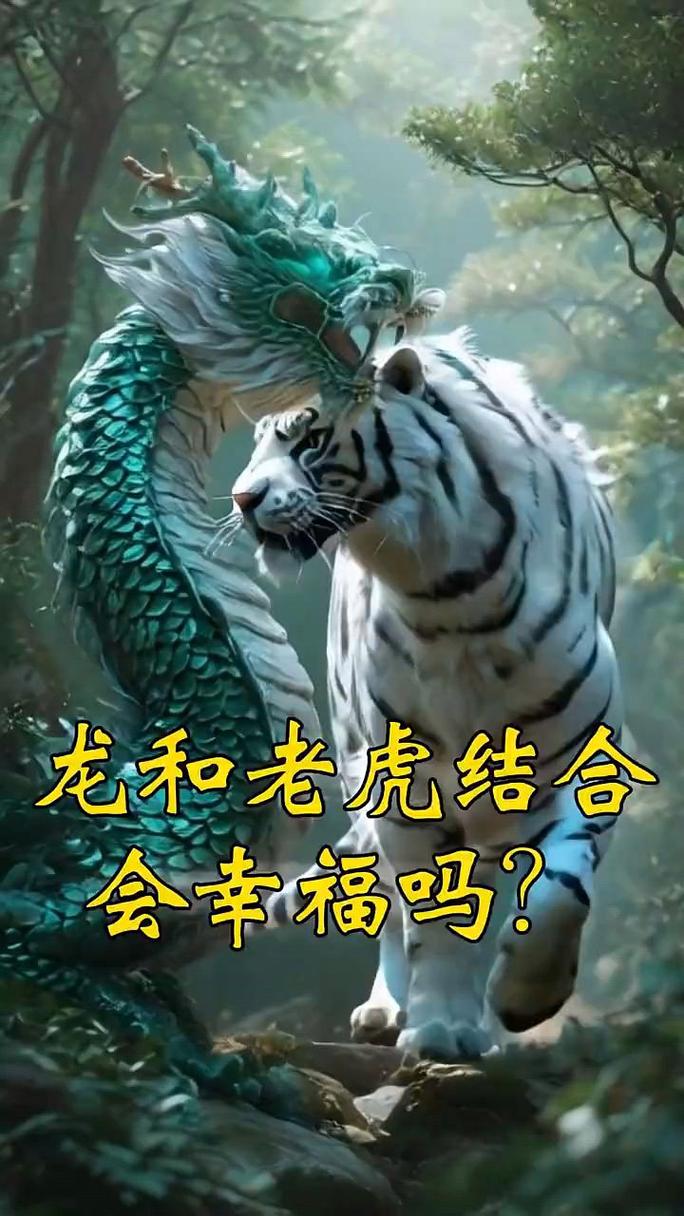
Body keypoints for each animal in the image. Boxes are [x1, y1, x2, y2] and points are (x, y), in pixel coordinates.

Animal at [230, 327, 622, 1060]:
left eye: (311, 438)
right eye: (261, 441)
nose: (242, 499)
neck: (449, 597)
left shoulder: (583, 769)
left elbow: (561, 894)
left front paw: (524, 1001)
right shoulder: (404, 788)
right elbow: (430, 915)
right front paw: (439, 1028)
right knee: (386, 895)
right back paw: (388, 1012)